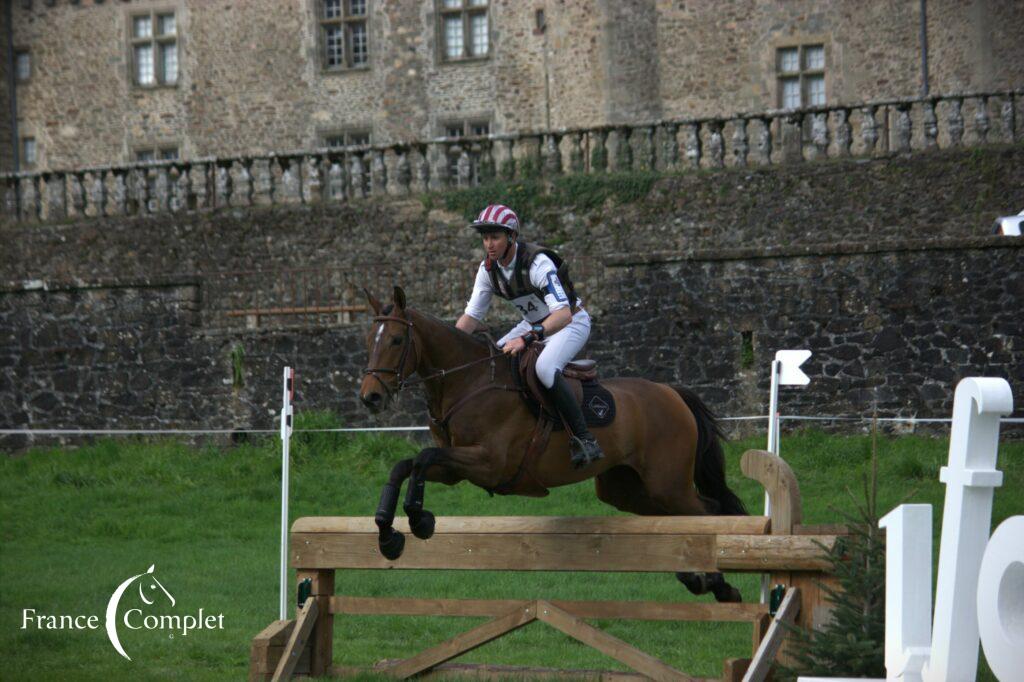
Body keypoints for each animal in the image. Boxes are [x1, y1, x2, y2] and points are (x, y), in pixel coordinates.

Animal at [356, 284, 749, 598]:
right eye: (368, 341)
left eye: (396, 340)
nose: (370, 397)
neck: (468, 382)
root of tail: (671, 391)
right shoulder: (455, 468)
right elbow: (407, 465)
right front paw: (388, 534)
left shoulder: (489, 463)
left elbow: (423, 457)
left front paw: (418, 520)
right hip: (626, 489)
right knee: (682, 517)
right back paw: (696, 577)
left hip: (668, 483)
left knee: (707, 511)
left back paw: (719, 585)